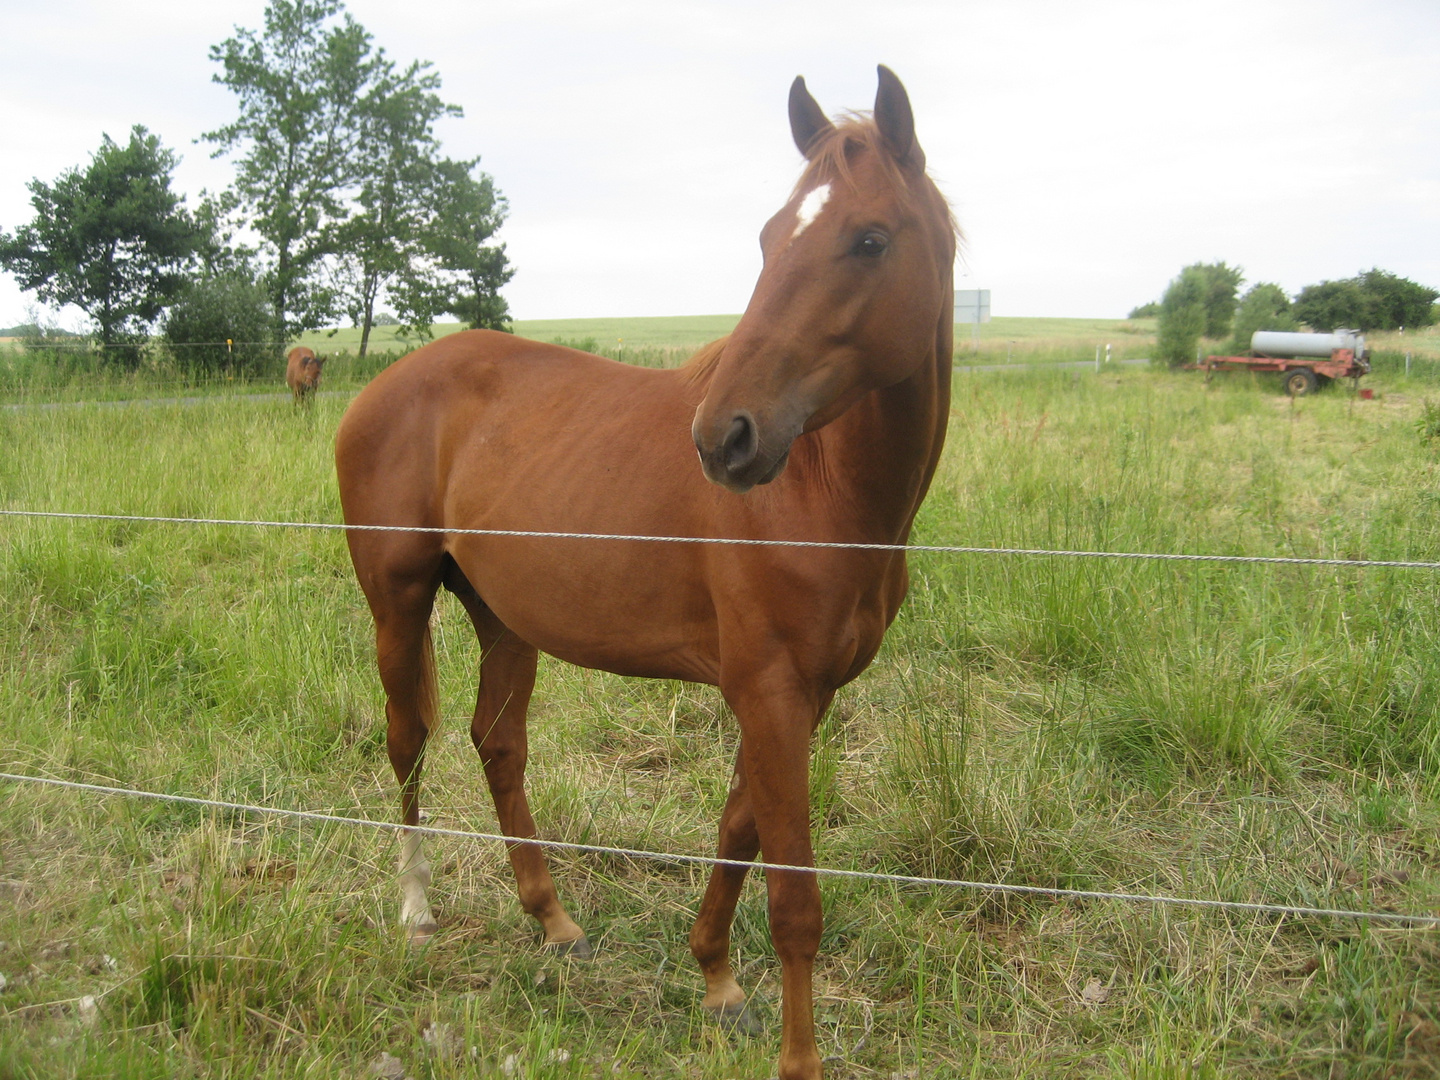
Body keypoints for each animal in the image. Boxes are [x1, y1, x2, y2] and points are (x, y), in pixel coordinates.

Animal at [336, 69, 956, 1080]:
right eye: (769, 237)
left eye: (870, 239)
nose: (725, 437)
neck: (823, 491)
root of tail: (389, 382)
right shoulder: (770, 691)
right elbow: (794, 896)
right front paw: (795, 1056)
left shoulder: (800, 694)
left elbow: (739, 831)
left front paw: (716, 979)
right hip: (398, 605)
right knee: (408, 741)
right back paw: (418, 910)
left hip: (504, 618)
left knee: (497, 745)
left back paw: (553, 920)